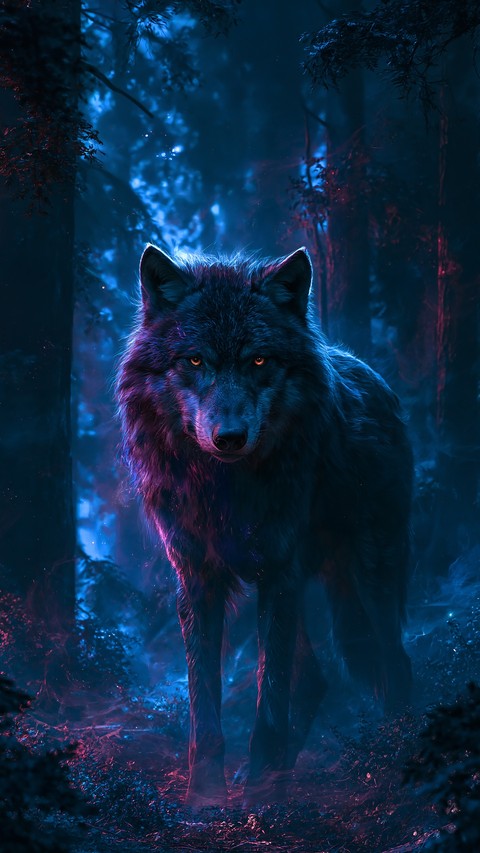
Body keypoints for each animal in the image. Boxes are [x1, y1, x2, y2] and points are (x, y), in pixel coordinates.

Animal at [116, 244, 413, 807]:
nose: (229, 437)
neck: (224, 489)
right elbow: (205, 706)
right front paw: (207, 797)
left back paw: (394, 753)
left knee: (391, 660)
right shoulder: (199, 581)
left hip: (371, 577)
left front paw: (259, 796)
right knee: (315, 678)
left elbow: (268, 699)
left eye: (258, 360)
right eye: (195, 360)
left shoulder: (279, 574)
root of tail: (376, 376)